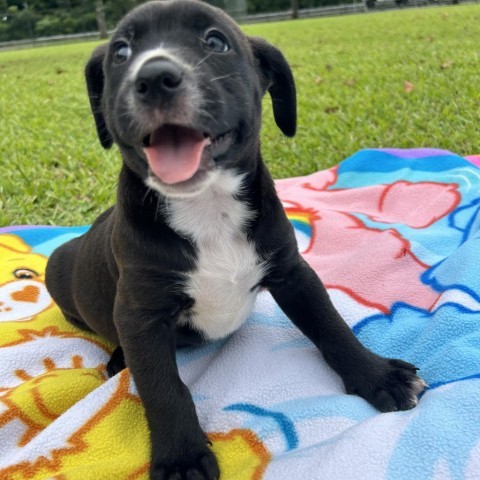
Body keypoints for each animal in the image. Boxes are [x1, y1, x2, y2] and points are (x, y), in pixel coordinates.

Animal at [46, 1, 424, 478]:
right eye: (121, 53)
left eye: (215, 41)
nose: (154, 77)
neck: (207, 207)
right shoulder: (141, 315)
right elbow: (163, 387)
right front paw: (181, 457)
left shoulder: (293, 273)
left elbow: (331, 326)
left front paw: (378, 376)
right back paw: (117, 360)